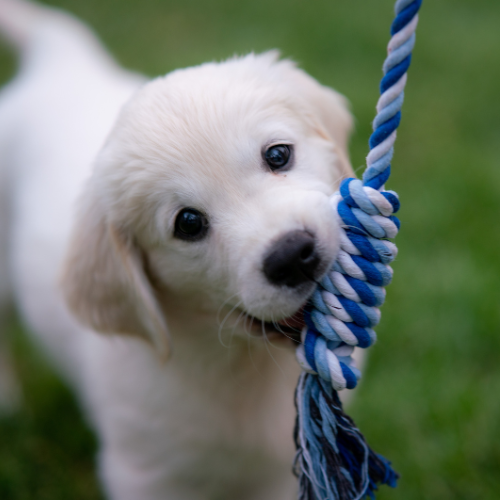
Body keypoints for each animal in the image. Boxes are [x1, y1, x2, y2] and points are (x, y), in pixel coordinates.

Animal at [0, 0, 354, 500]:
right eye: (188, 223)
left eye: (278, 155)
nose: (292, 255)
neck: (240, 366)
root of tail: (61, 65)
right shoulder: (145, 473)